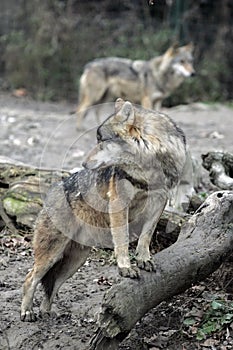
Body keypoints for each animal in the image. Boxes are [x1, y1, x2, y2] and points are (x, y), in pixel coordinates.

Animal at [20, 97, 187, 322]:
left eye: (102, 140)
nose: (83, 163)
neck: (149, 169)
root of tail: (50, 193)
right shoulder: (119, 204)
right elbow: (122, 240)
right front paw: (126, 268)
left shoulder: (159, 201)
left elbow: (146, 235)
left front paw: (143, 259)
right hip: (52, 255)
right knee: (30, 278)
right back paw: (27, 312)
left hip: (75, 261)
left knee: (51, 286)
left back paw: (48, 313)